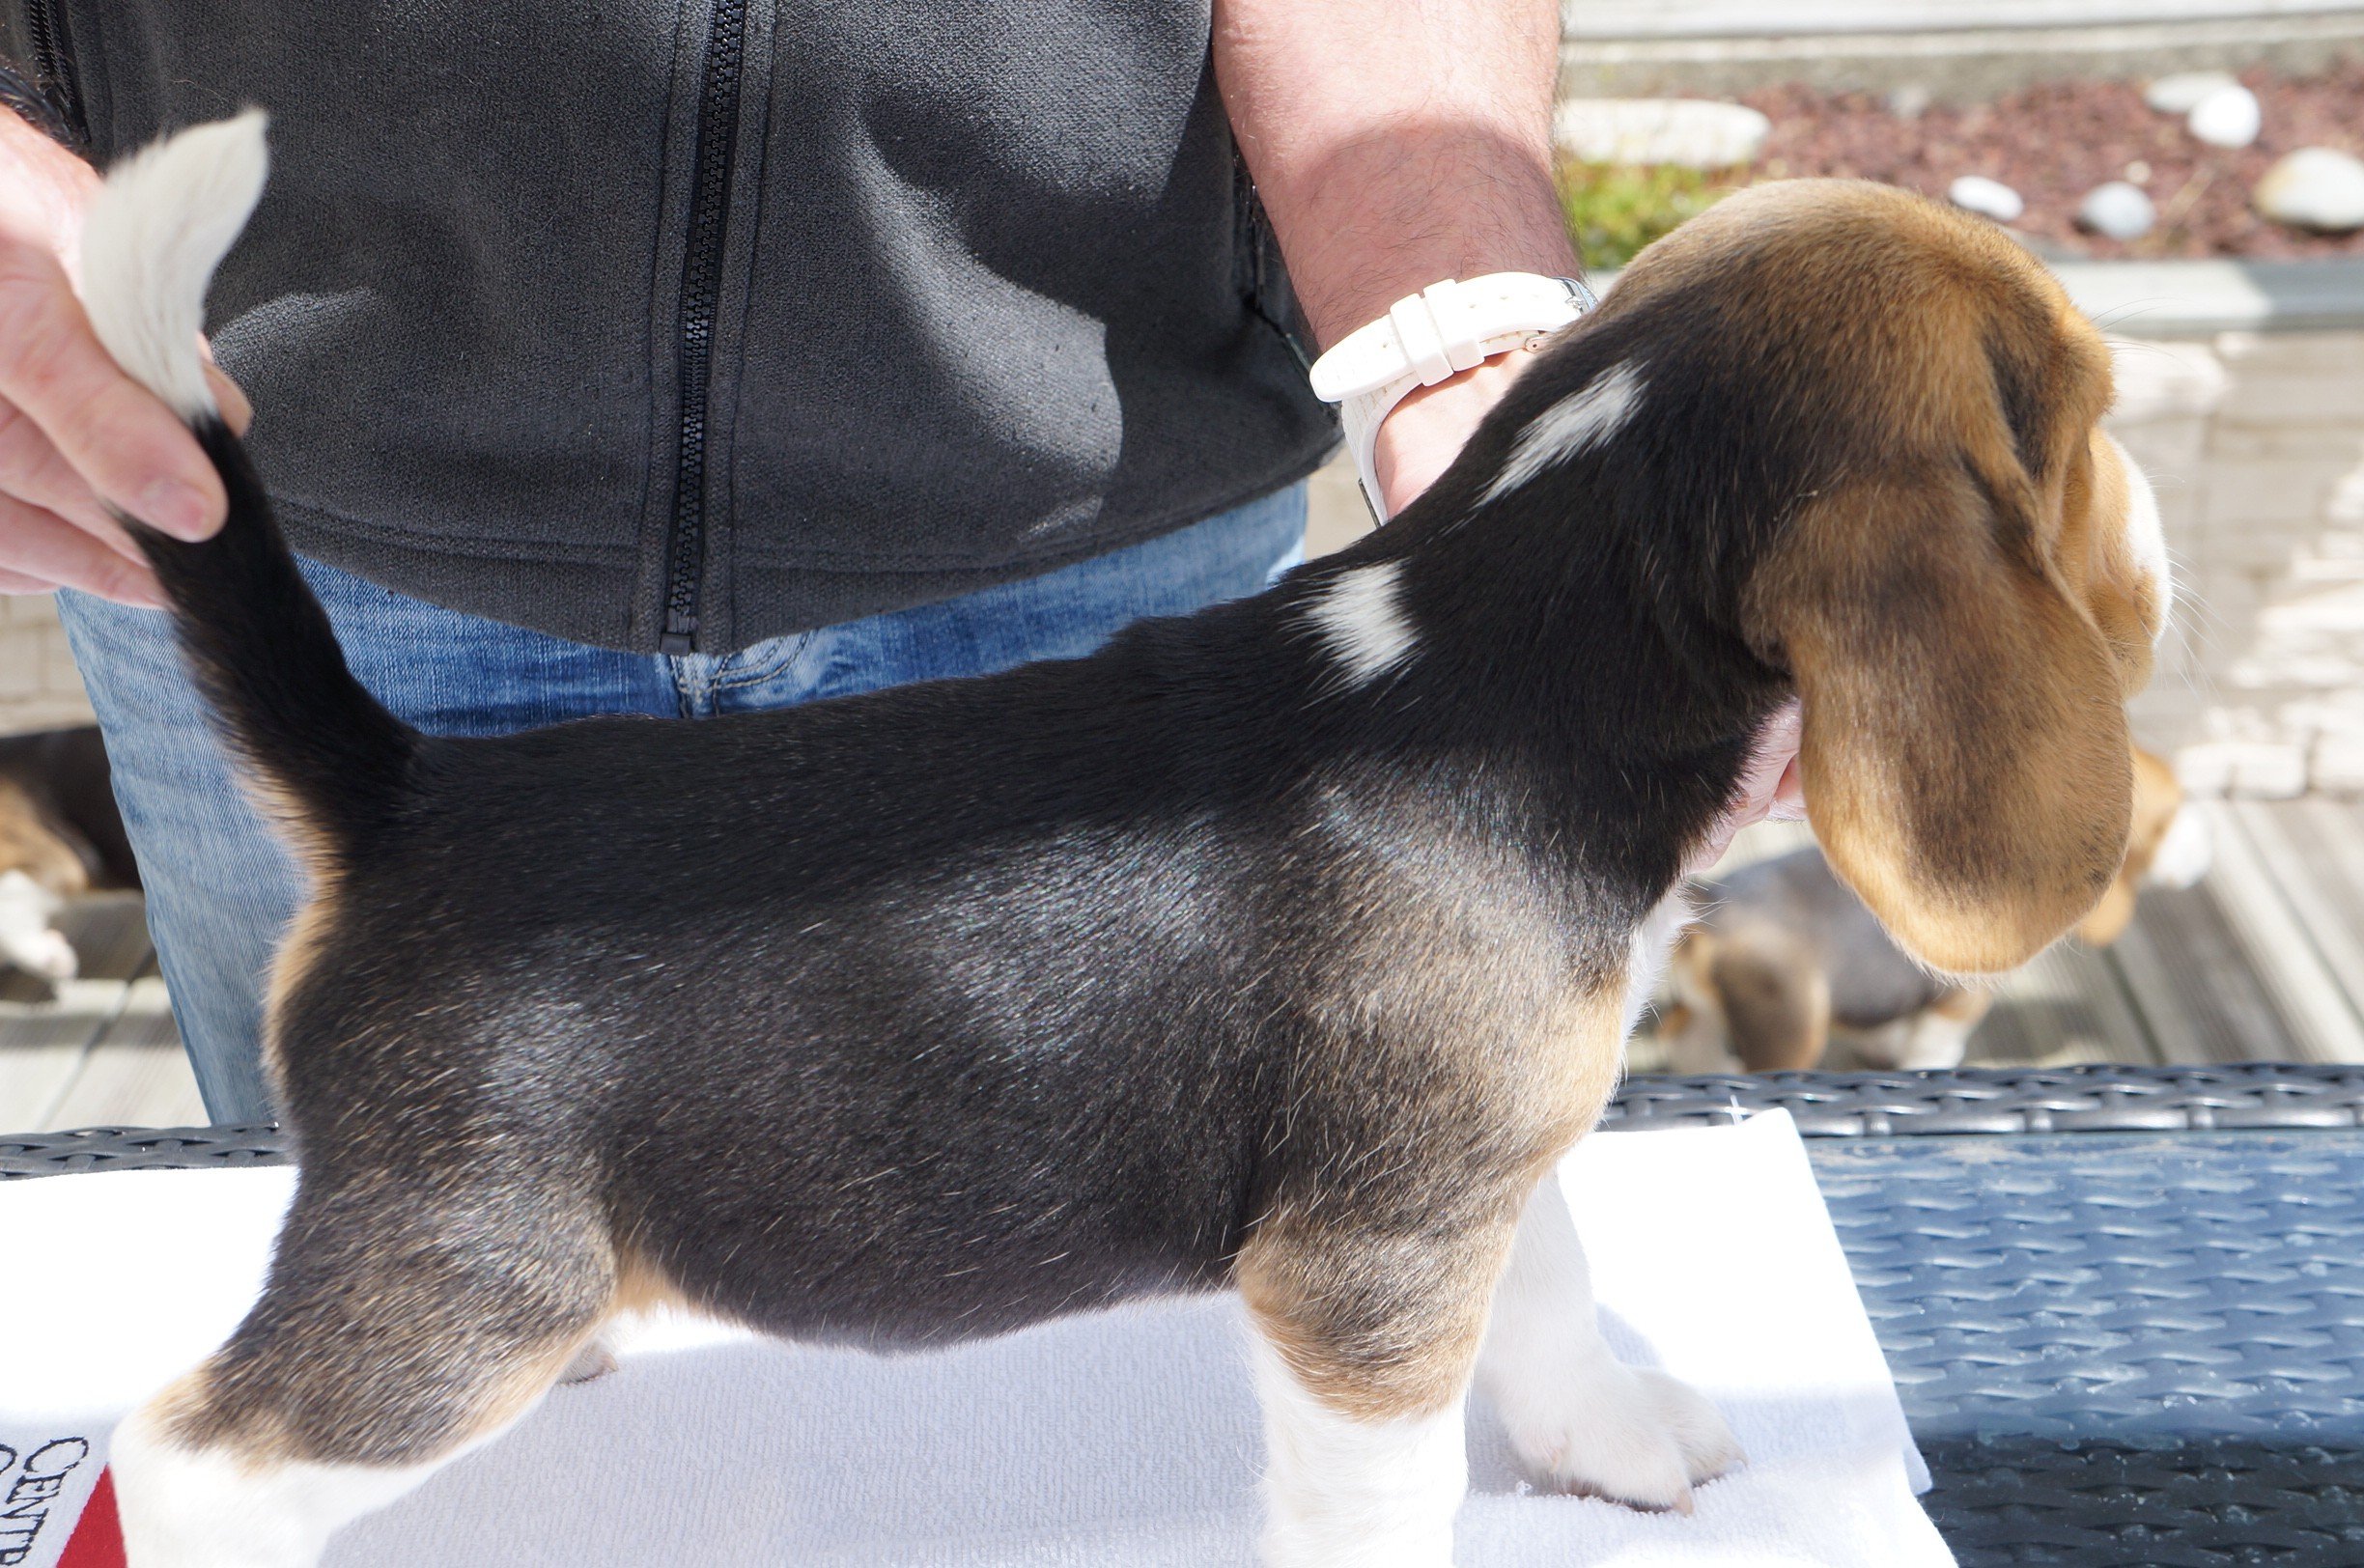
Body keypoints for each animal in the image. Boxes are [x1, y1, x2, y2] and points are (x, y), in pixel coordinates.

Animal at [1664, 751, 2193, 1078]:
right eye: (2169, 819)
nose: (2198, 845)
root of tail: (1711, 909)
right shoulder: (1959, 1002)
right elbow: (1934, 1046)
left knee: (1690, 1044)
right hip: (1791, 1029)